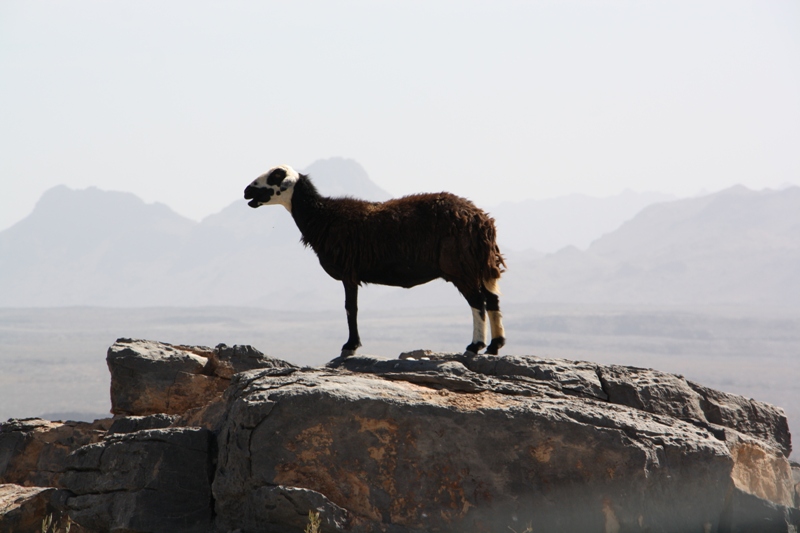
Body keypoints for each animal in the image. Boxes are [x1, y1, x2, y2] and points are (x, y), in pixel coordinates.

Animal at [244, 165, 506, 358]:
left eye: (276, 176)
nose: (246, 191)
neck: (322, 216)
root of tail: (481, 220)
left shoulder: (349, 272)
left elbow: (350, 308)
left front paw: (350, 346)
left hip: (460, 266)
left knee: (478, 301)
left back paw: (475, 346)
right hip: (478, 265)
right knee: (492, 299)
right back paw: (495, 346)